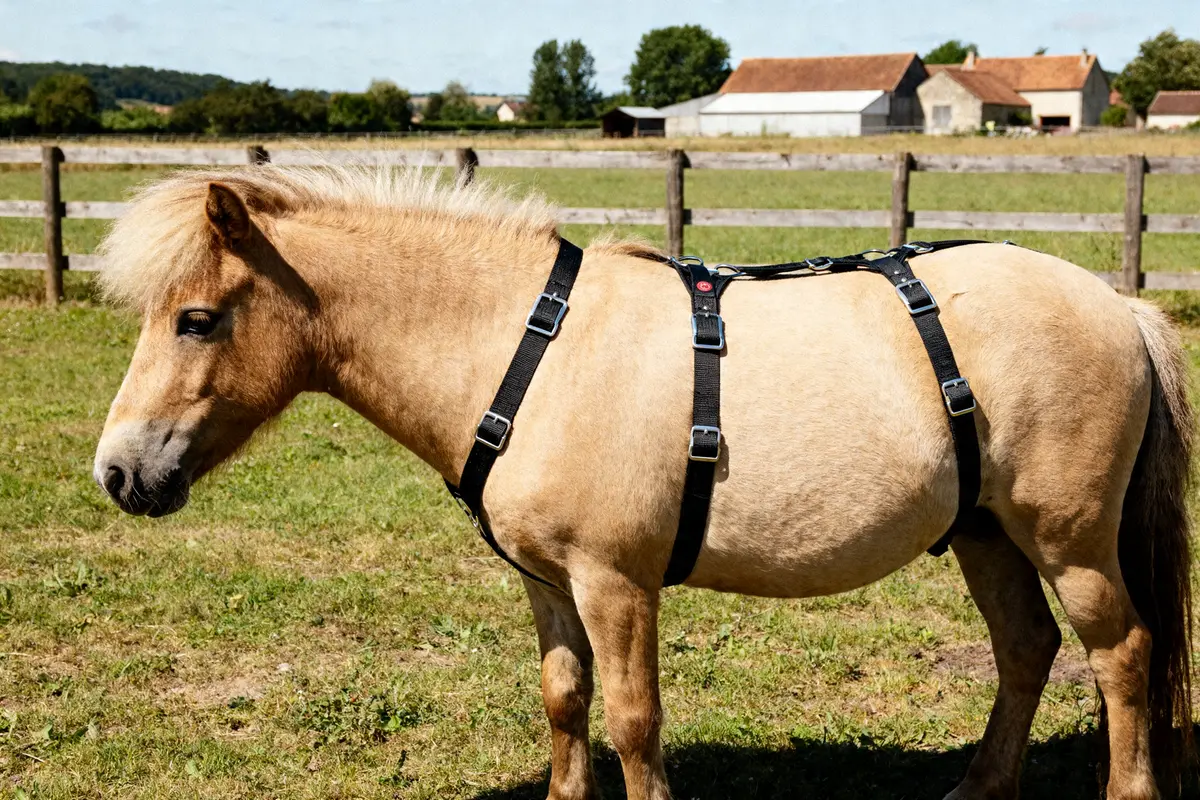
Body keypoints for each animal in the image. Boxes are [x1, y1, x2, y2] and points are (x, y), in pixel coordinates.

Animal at [92, 163, 1194, 800]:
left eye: (196, 319)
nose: (118, 469)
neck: (525, 351)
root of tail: (1119, 305)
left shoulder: (614, 581)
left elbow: (632, 720)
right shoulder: (546, 582)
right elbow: (565, 701)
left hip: (1069, 540)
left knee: (1122, 655)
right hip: (984, 531)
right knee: (1027, 648)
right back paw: (978, 788)